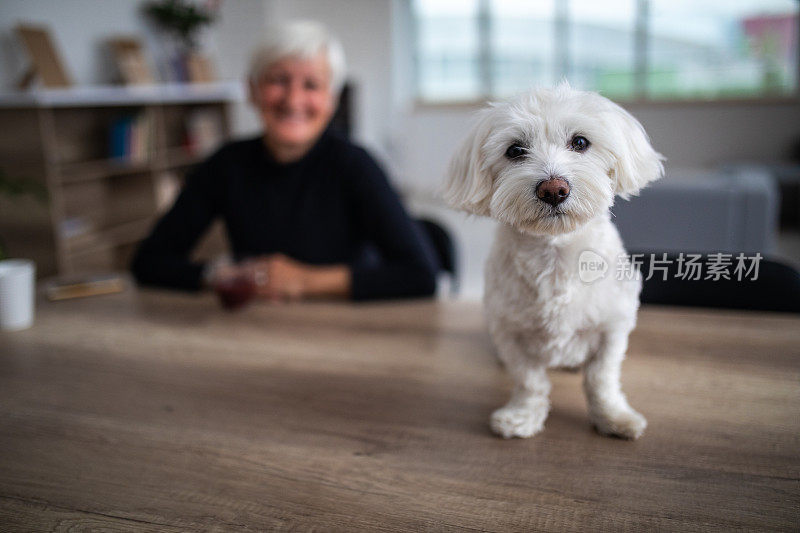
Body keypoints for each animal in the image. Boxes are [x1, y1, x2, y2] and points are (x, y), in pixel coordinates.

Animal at [444, 83, 664, 438]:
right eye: (515, 150)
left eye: (580, 142)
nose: (553, 189)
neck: (555, 254)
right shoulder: (511, 333)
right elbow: (529, 380)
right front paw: (522, 416)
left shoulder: (612, 327)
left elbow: (601, 378)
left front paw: (613, 416)